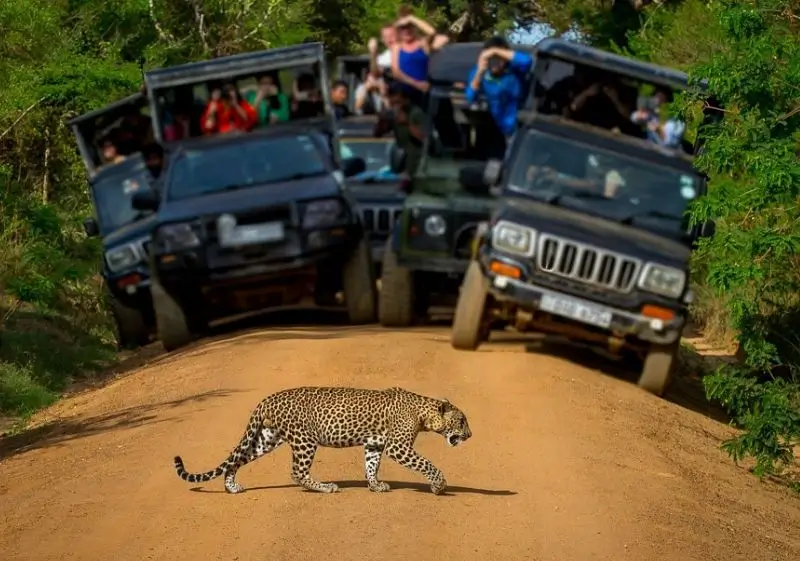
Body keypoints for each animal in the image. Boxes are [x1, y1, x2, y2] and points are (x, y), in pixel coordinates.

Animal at [173, 386, 472, 495]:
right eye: (461, 421)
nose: (470, 435)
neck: (424, 413)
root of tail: (267, 398)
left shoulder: (374, 444)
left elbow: (371, 465)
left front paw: (375, 485)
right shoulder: (398, 447)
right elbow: (426, 464)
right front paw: (439, 485)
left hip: (267, 438)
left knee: (238, 459)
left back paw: (232, 486)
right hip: (305, 440)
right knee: (297, 472)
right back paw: (325, 487)